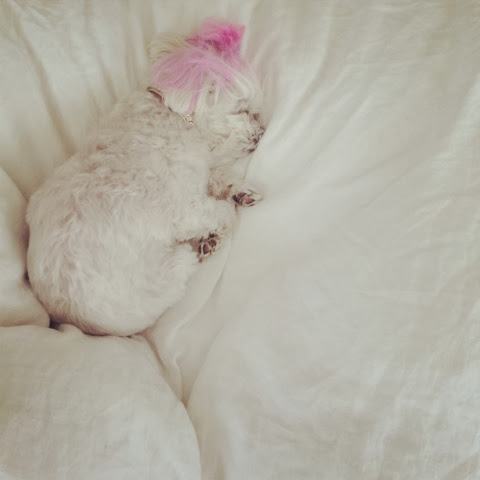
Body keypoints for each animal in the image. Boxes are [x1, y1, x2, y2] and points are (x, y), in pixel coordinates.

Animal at [26, 18, 265, 336]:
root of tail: (70, 319)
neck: (170, 113)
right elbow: (222, 213)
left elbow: (216, 177)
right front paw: (221, 222)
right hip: (169, 273)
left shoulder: (197, 170)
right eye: (242, 109)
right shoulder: (185, 208)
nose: (261, 132)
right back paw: (206, 245)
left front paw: (239, 191)